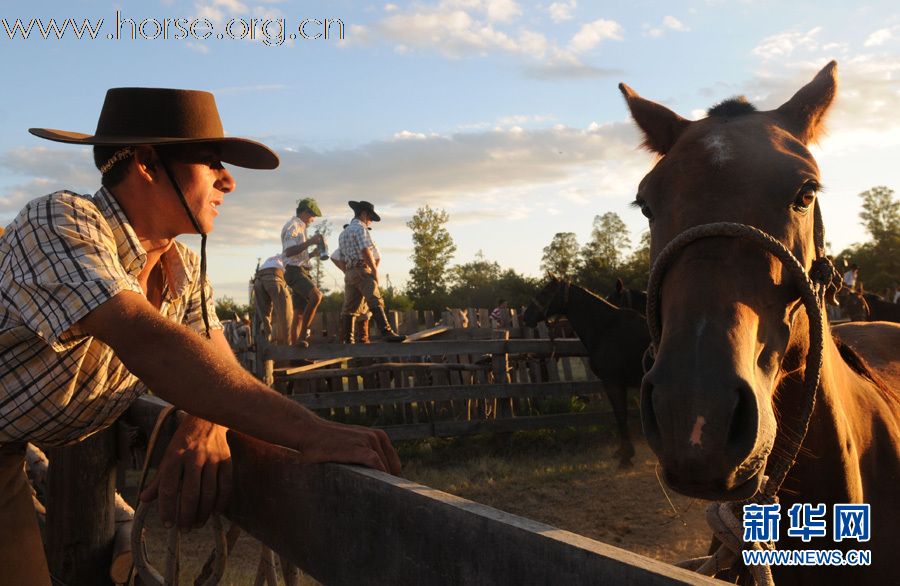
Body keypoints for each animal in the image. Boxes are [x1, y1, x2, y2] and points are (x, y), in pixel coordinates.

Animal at [524, 274, 652, 466]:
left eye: (545, 292)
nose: (526, 316)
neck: (606, 329)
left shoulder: (613, 382)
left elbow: (620, 414)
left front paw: (626, 455)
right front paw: (624, 452)